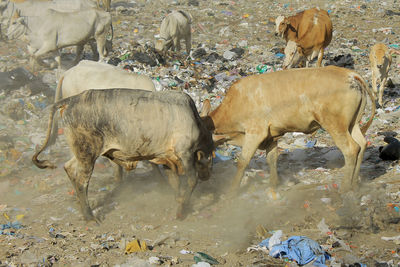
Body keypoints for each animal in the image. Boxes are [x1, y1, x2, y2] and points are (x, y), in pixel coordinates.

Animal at [32, 89, 214, 223]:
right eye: (211, 155)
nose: (207, 176)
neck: (196, 121)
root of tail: (70, 100)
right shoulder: (185, 153)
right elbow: (191, 181)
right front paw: (182, 209)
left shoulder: (167, 157)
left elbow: (174, 182)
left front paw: (178, 200)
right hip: (88, 153)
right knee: (81, 181)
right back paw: (89, 216)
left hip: (80, 152)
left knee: (69, 167)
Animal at [203, 65, 376, 195]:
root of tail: (349, 74)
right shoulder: (270, 136)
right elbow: (272, 159)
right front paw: (273, 184)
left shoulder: (255, 132)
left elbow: (243, 162)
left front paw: (231, 192)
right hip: (352, 124)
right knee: (362, 144)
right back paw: (355, 184)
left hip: (335, 125)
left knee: (351, 149)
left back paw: (345, 187)